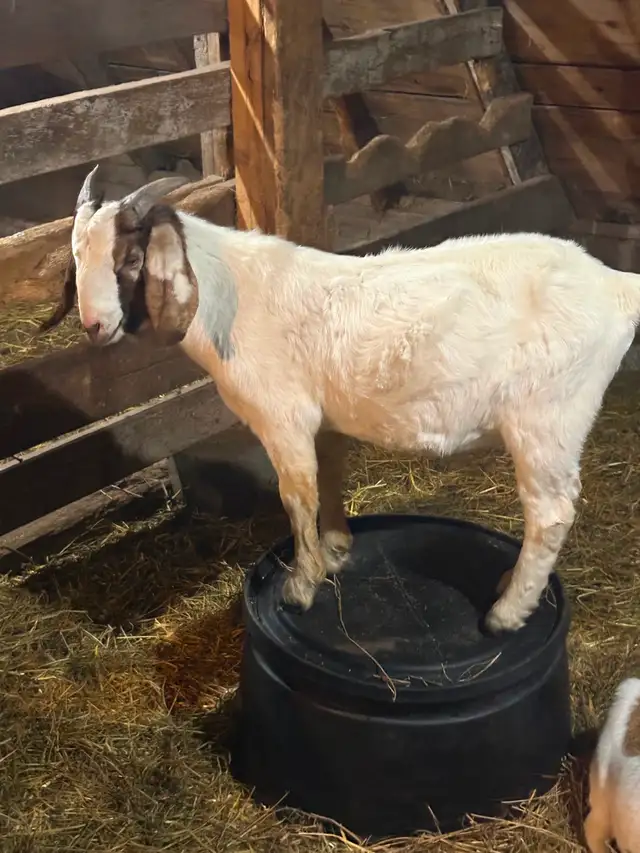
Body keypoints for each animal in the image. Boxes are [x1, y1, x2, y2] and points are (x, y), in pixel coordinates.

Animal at [41, 166, 640, 633]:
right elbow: (326, 477)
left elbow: (295, 498)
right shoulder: (322, 420)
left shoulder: (283, 418)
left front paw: (300, 587)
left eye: (130, 259)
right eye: (76, 256)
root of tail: (614, 284)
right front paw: (335, 550)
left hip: (548, 419)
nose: (94, 326)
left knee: (551, 514)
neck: (231, 296)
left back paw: (508, 612)